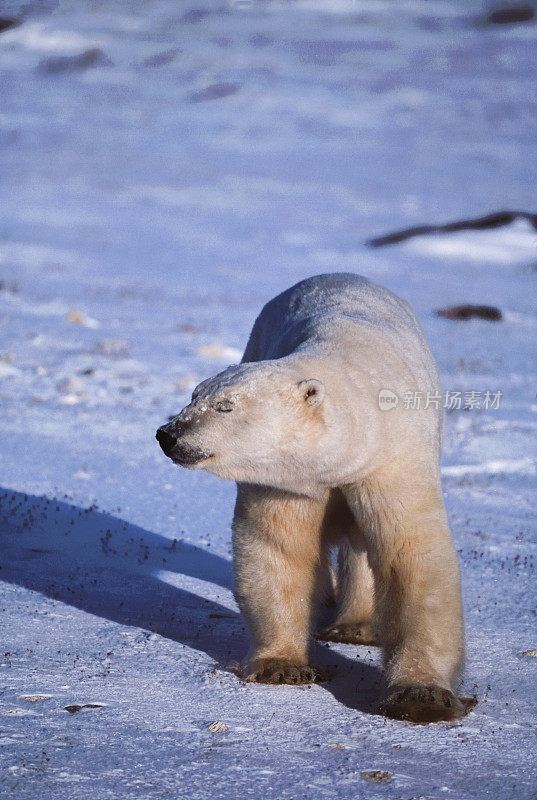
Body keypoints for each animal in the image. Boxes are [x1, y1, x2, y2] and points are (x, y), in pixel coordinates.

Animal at [156, 276, 474, 724]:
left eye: (224, 406)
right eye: (193, 396)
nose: (168, 434)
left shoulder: (393, 459)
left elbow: (410, 554)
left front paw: (419, 695)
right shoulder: (289, 480)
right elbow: (280, 548)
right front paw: (281, 667)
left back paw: (355, 626)